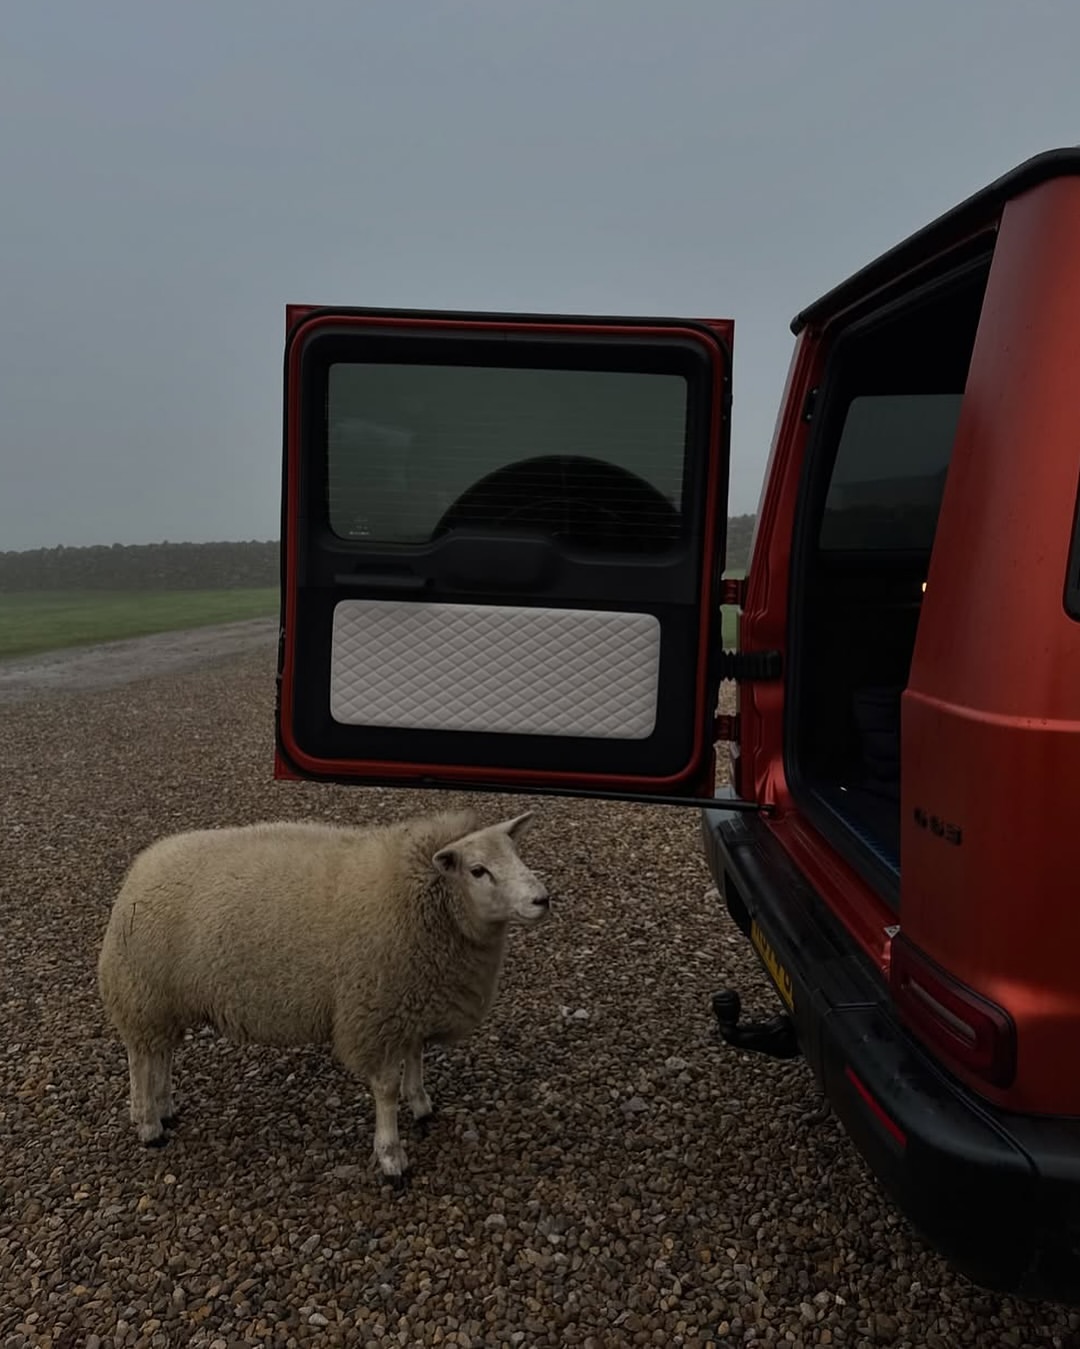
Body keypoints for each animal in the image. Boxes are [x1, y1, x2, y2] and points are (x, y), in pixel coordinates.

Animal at [97, 807, 550, 1181]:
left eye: (516, 854)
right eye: (478, 870)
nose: (542, 899)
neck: (422, 898)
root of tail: (142, 866)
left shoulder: (411, 1001)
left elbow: (416, 1054)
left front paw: (420, 1102)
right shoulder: (375, 1010)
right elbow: (385, 1087)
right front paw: (391, 1156)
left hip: (161, 1002)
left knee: (161, 1053)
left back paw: (164, 1105)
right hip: (141, 993)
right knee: (140, 1058)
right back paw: (148, 1123)